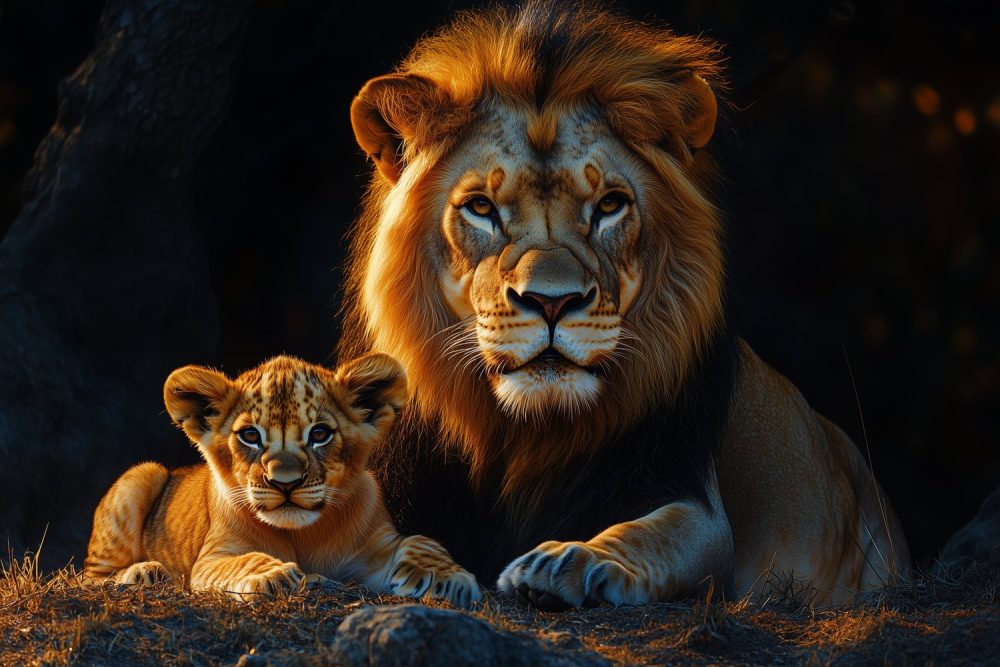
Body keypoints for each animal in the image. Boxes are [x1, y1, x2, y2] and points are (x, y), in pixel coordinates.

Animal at [83, 353, 481, 606]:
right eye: (250, 436)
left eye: (320, 434)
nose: (285, 482)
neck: (302, 535)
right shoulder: (210, 559)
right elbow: (244, 560)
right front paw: (274, 576)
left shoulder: (376, 547)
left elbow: (422, 541)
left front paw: (449, 580)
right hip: (142, 474)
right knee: (90, 575)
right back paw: (145, 573)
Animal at [341, 0, 909, 608]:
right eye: (480, 207)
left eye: (610, 206)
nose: (552, 301)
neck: (524, 435)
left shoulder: (695, 504)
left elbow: (650, 536)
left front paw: (568, 561)